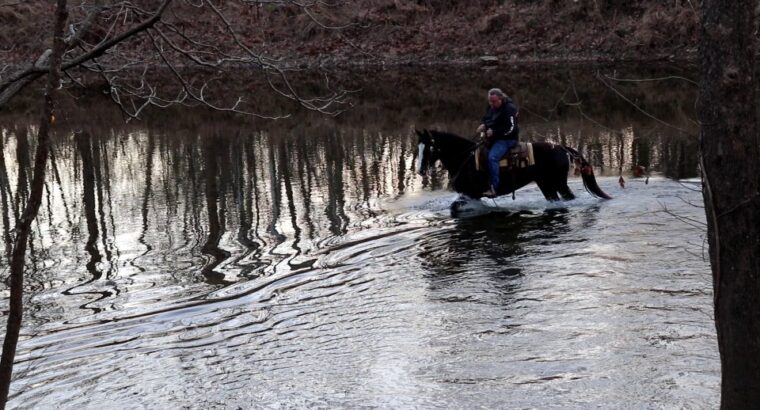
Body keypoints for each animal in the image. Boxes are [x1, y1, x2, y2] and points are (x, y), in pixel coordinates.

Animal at [416, 129, 612, 207]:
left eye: (429, 147)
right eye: (418, 147)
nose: (420, 171)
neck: (465, 158)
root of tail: (562, 148)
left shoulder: (471, 194)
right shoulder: (469, 195)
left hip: (558, 183)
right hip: (545, 184)